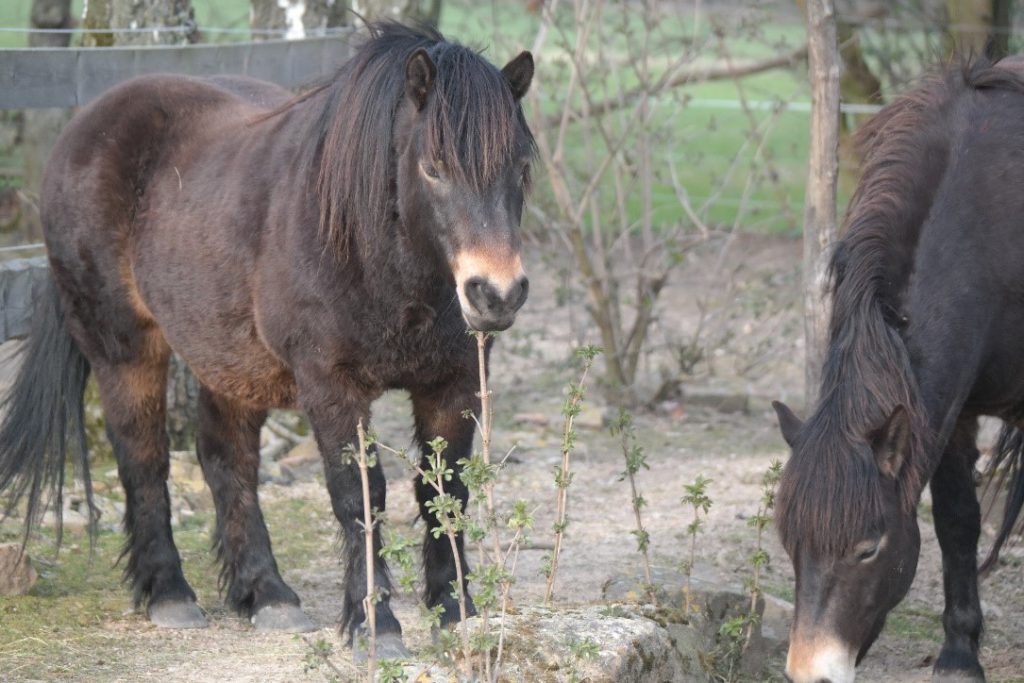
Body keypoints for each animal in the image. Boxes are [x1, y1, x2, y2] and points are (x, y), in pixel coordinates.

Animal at [0, 22, 536, 663]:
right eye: (432, 169)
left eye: (522, 168)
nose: (496, 293)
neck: (371, 248)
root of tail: (85, 126)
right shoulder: (331, 385)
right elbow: (359, 497)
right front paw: (375, 626)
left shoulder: (453, 382)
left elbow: (444, 491)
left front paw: (457, 615)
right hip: (124, 347)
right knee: (144, 457)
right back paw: (169, 593)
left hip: (231, 361)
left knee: (225, 458)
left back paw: (268, 594)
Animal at [770, 54, 1024, 683]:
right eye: (790, 544)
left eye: (868, 548)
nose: (812, 673)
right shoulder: (950, 411)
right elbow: (956, 521)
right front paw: (959, 656)